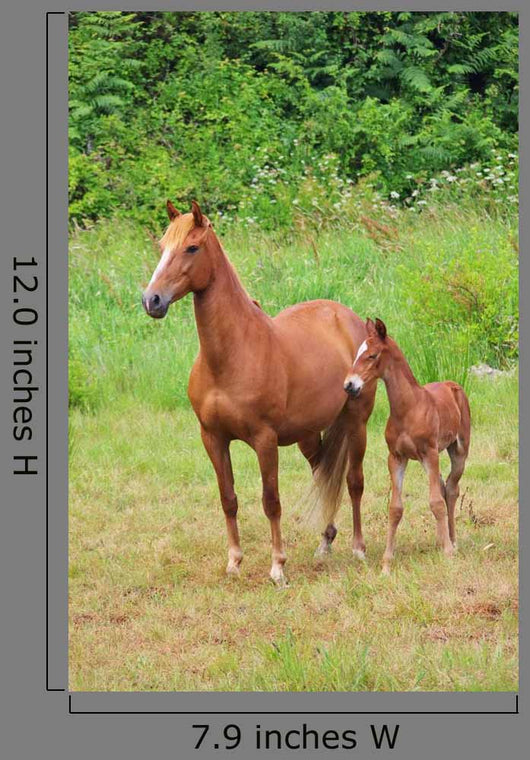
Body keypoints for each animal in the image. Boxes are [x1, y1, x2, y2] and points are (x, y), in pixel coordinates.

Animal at [142, 200, 376, 585]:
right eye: (162, 246)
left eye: (192, 247)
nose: (152, 300)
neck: (231, 355)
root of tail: (349, 318)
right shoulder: (213, 438)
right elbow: (228, 498)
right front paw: (234, 561)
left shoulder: (264, 440)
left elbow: (271, 501)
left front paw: (278, 566)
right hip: (307, 434)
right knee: (321, 474)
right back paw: (325, 541)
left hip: (357, 423)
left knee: (354, 481)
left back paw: (358, 548)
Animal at [343, 318, 471, 574]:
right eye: (357, 353)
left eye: (372, 355)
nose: (349, 385)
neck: (409, 407)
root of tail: (453, 385)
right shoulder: (396, 457)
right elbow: (395, 508)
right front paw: (386, 563)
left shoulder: (430, 453)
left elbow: (436, 503)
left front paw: (448, 554)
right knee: (443, 487)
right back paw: (440, 539)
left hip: (458, 451)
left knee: (451, 490)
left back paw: (452, 541)